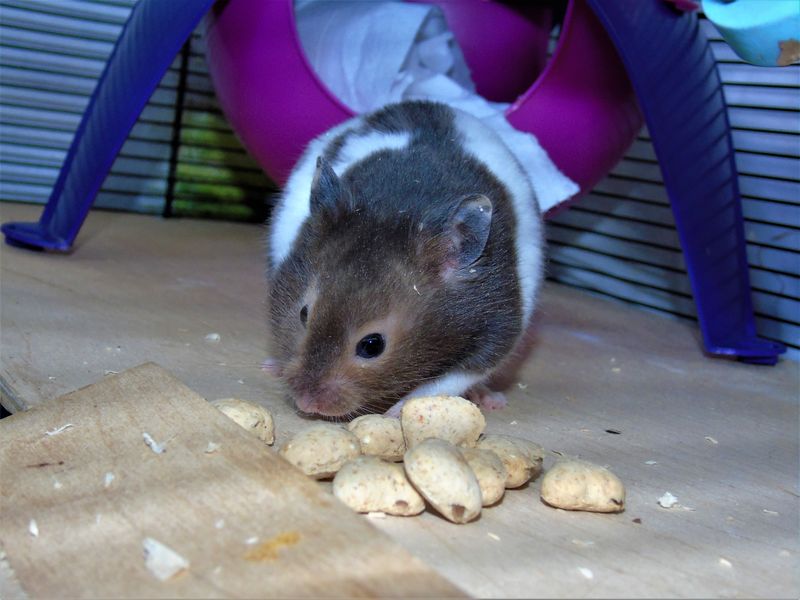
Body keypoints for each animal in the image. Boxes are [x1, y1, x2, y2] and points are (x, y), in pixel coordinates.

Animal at [266, 101, 540, 418]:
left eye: (372, 345)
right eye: (303, 314)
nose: (306, 403)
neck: (403, 208)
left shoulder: (497, 330)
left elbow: (449, 380)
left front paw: (392, 413)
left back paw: (491, 399)